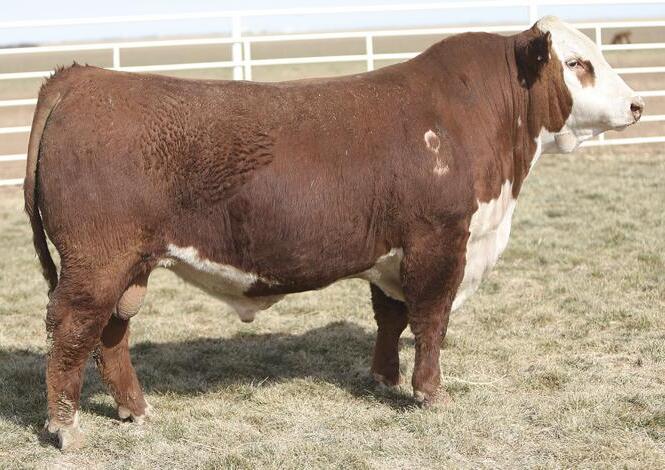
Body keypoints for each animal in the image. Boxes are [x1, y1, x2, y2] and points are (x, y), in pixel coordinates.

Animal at [24, 16, 643, 449]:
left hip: (130, 266)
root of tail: (85, 77)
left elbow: (391, 318)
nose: (638, 104)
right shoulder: (439, 242)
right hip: (95, 264)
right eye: (578, 62)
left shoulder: (391, 254)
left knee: (111, 333)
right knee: (72, 329)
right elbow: (432, 322)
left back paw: (136, 409)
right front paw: (430, 394)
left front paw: (384, 380)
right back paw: (67, 429)